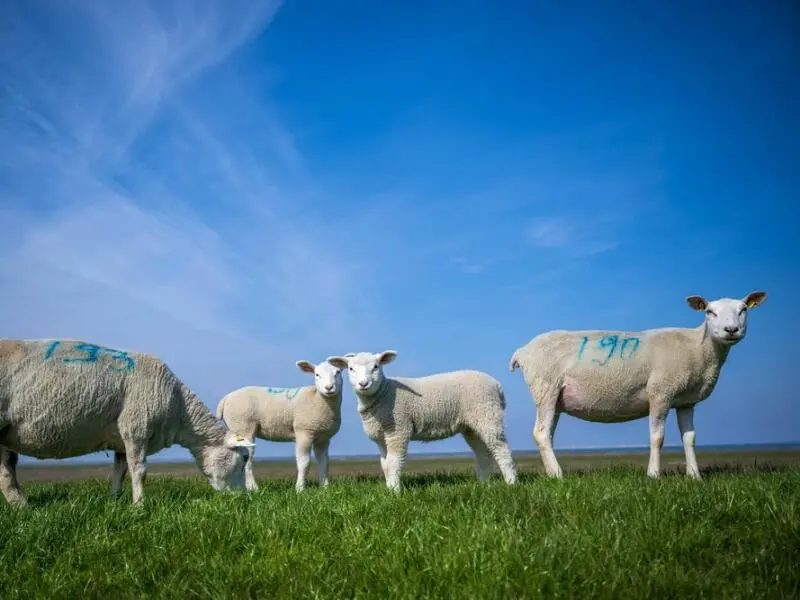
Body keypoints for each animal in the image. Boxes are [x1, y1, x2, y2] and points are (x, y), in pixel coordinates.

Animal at [0, 338, 255, 506]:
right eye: (243, 458)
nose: (241, 499)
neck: (180, 409)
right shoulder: (136, 427)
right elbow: (139, 470)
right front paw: (139, 506)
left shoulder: (122, 439)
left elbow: (120, 471)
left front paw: (114, 502)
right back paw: (22, 505)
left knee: (7, 468)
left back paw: (22, 506)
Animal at [216, 360, 344, 492]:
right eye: (317, 374)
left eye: (338, 372)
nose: (329, 388)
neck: (316, 399)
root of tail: (226, 398)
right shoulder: (304, 432)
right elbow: (304, 462)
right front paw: (300, 488)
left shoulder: (323, 438)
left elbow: (324, 462)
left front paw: (325, 488)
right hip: (243, 426)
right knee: (247, 460)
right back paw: (253, 488)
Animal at [326, 352, 520, 492]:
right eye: (351, 368)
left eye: (376, 367)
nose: (363, 384)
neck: (383, 393)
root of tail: (497, 385)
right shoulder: (382, 437)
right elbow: (385, 465)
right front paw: (389, 488)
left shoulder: (398, 430)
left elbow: (394, 462)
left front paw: (395, 492)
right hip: (472, 426)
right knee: (483, 453)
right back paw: (483, 484)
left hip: (488, 414)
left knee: (502, 450)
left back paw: (511, 484)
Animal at [510, 288, 764, 480]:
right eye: (710, 312)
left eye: (743, 310)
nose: (731, 330)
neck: (698, 348)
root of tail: (523, 351)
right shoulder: (661, 391)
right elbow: (657, 437)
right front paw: (653, 476)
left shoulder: (686, 401)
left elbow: (689, 438)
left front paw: (695, 476)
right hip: (546, 388)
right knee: (541, 433)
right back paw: (558, 475)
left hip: (555, 397)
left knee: (547, 434)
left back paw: (552, 473)